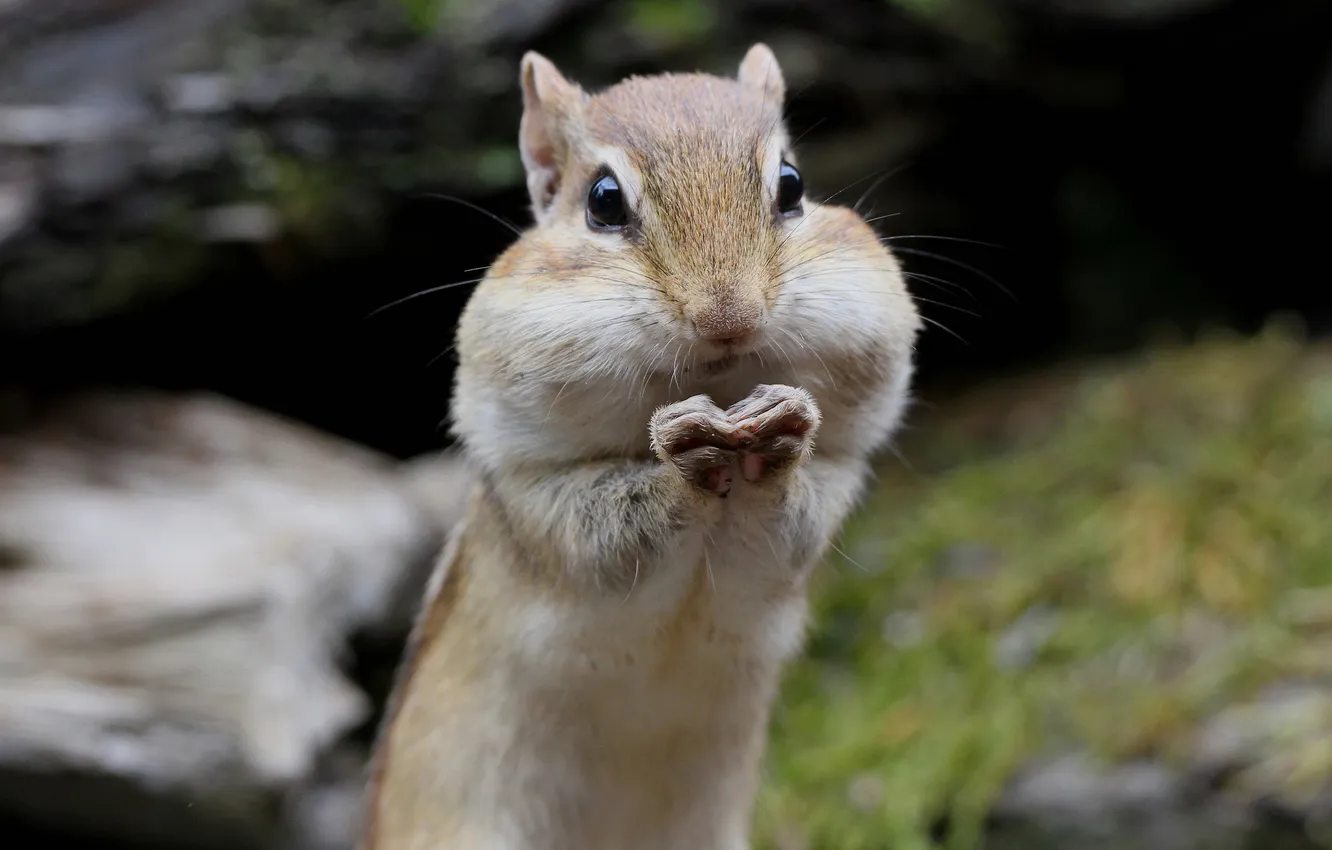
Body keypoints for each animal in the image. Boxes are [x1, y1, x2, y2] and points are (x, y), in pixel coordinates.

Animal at [359, 43, 922, 850]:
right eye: (603, 201)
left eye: (792, 186)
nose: (729, 315)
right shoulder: (537, 496)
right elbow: (614, 530)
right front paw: (681, 457)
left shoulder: (836, 481)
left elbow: (788, 520)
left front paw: (780, 437)